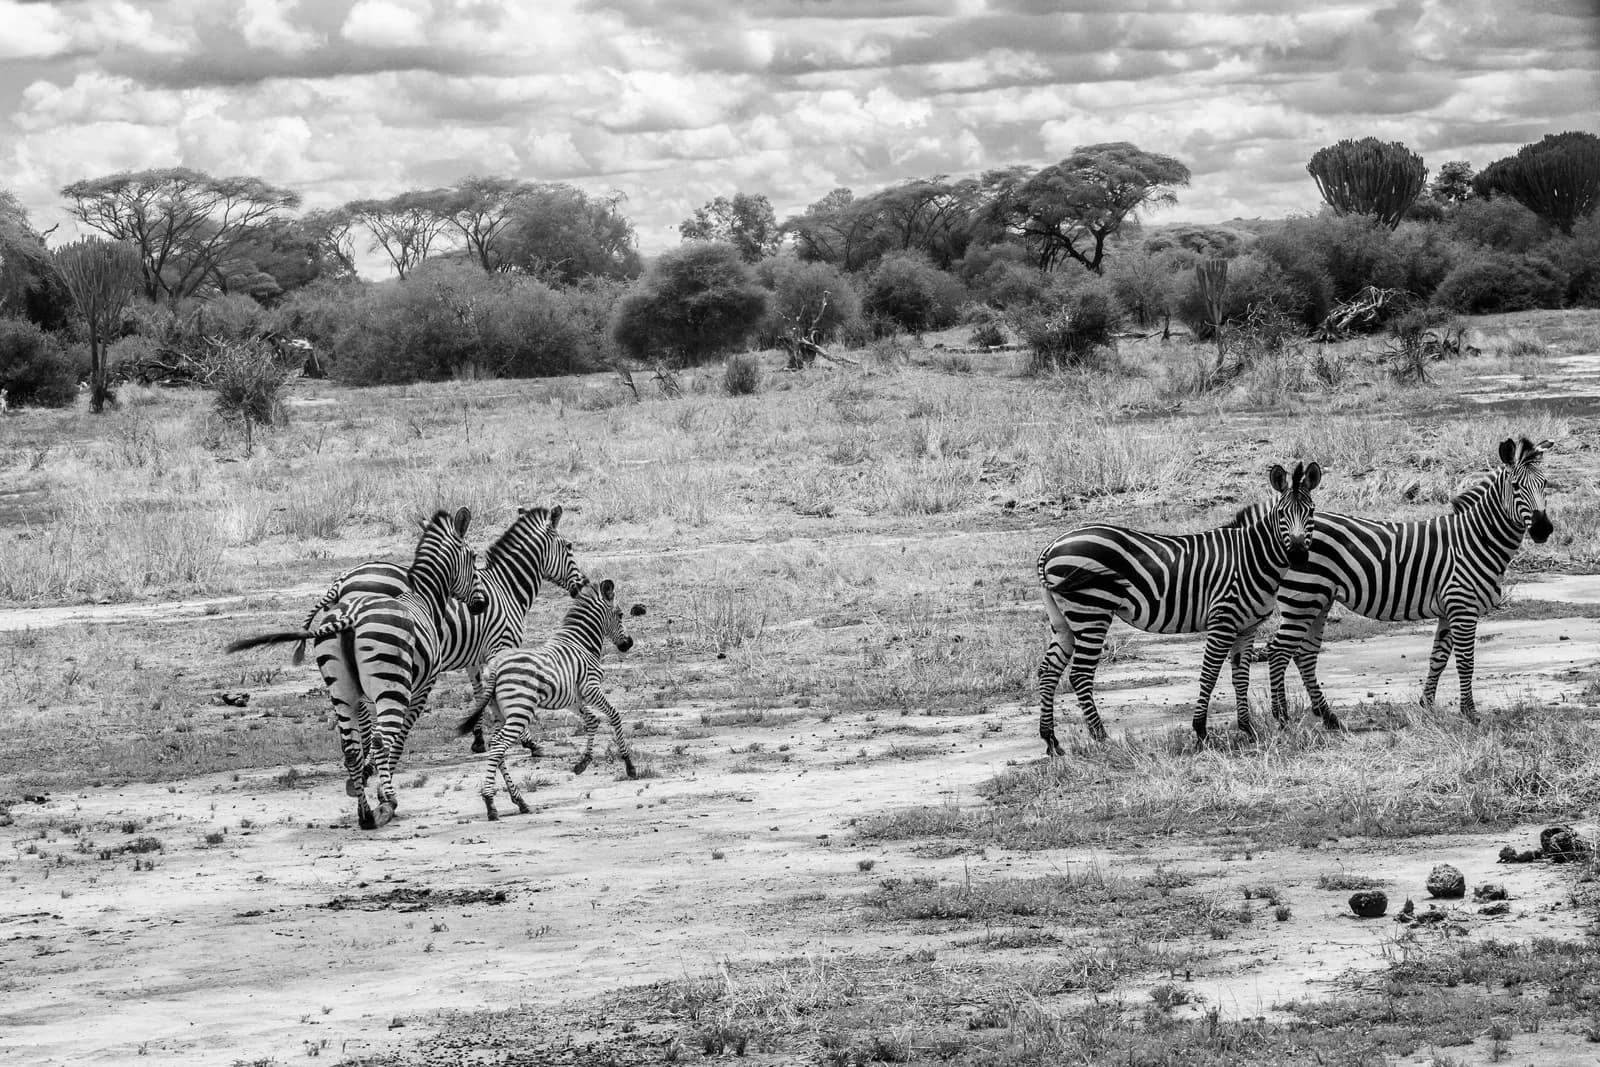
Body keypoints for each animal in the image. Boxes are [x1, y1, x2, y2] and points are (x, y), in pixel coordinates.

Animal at [227, 507, 484, 829]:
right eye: (473, 556)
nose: (481, 604)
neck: (424, 598)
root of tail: (349, 614)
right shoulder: (422, 687)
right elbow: (397, 738)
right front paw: (383, 789)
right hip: (390, 687)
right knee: (382, 739)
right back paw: (387, 804)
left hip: (341, 690)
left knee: (350, 749)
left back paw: (365, 814)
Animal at [293, 506, 589, 753]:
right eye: (569, 546)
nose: (583, 585)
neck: (506, 589)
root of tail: (341, 580)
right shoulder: (502, 646)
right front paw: (527, 741)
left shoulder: (475, 656)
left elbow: (480, 694)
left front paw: (478, 739)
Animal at [457, 579, 644, 821]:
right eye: (620, 615)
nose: (628, 644)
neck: (580, 642)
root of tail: (496, 667)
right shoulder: (591, 688)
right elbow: (614, 716)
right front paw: (629, 765)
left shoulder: (573, 697)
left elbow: (592, 721)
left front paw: (583, 762)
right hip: (520, 710)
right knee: (498, 745)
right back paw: (490, 804)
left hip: (500, 712)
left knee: (497, 748)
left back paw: (520, 802)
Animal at [1036, 461, 1322, 752]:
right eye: (1282, 514)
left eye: (1311, 512)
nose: (1299, 554)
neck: (1251, 557)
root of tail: (1052, 546)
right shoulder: (1223, 620)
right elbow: (1209, 674)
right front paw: (1201, 732)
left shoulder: (1247, 626)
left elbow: (1241, 676)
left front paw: (1248, 730)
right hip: (1091, 611)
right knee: (1080, 674)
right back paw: (1102, 738)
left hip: (1063, 619)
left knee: (1049, 670)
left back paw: (1052, 741)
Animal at [1266, 436, 1553, 728]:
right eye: (1516, 486)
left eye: (1545, 484)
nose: (1543, 529)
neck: (1476, 539)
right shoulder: (1462, 606)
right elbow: (1465, 662)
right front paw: (1470, 713)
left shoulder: (1448, 609)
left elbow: (1438, 658)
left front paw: (1426, 705)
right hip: (1303, 599)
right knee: (1278, 651)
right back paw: (1281, 718)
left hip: (1318, 601)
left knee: (1304, 655)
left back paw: (1329, 717)